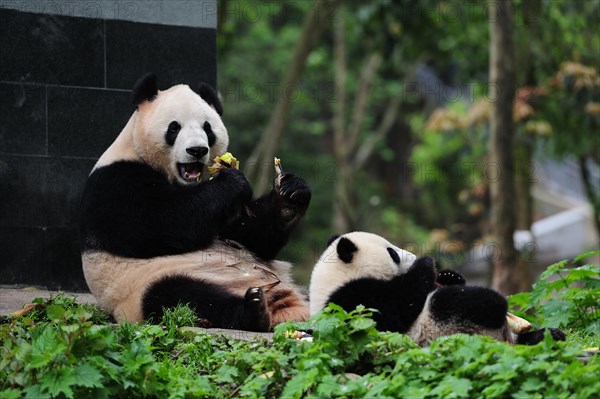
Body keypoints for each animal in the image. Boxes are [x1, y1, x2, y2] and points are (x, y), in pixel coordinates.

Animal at [80, 73, 312, 332]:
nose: (197, 150)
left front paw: (290, 194)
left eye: (207, 127)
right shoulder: (114, 181)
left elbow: (252, 237)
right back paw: (253, 310)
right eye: (174, 127)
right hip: (147, 285)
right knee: (182, 296)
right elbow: (155, 224)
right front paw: (232, 181)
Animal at [310, 233, 568, 346]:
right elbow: (392, 316)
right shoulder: (351, 301)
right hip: (443, 331)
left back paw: (548, 335)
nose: (412, 255)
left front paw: (449, 275)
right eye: (392, 253)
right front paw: (425, 264)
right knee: (457, 302)